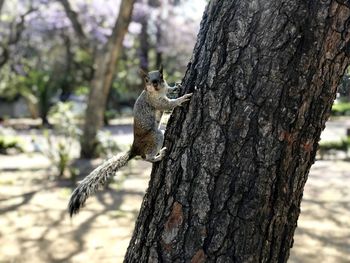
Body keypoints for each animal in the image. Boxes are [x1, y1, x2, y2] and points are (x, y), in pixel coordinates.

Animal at [67, 65, 194, 217]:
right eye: (146, 79)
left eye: (161, 76)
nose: (155, 84)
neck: (157, 91)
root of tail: (135, 148)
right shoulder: (155, 101)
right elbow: (168, 104)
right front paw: (182, 98)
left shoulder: (164, 89)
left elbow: (169, 90)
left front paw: (176, 86)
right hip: (156, 136)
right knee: (146, 157)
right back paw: (159, 155)